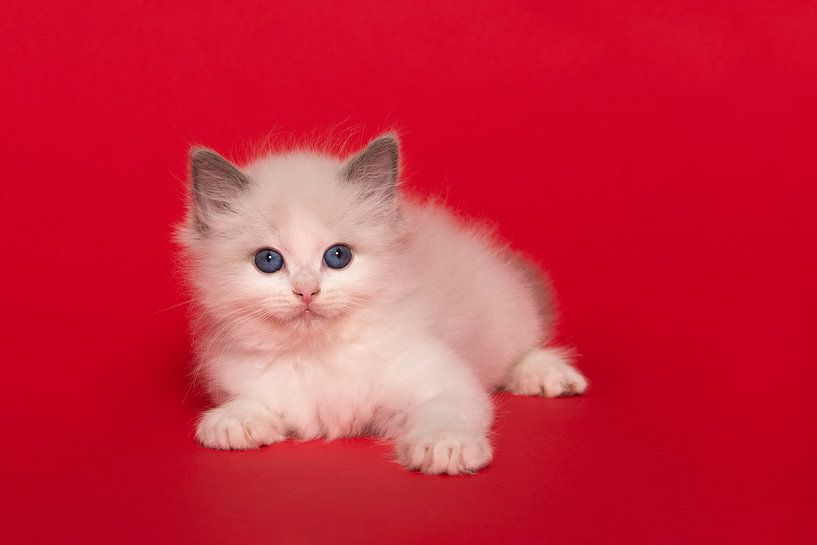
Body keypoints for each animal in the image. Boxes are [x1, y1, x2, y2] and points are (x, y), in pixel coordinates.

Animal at [177, 132, 588, 472]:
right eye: (268, 260)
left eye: (338, 256)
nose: (307, 292)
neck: (319, 355)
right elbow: (251, 402)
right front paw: (234, 422)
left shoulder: (442, 380)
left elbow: (447, 411)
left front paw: (444, 446)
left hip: (505, 315)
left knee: (523, 347)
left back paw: (550, 377)